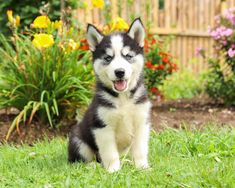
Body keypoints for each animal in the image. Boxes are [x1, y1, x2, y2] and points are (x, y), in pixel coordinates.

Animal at [69, 18, 151, 173]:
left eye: (128, 56)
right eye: (108, 58)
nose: (119, 72)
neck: (123, 98)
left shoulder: (141, 122)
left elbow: (140, 149)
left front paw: (142, 167)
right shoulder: (102, 126)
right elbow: (110, 153)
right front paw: (113, 170)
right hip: (78, 139)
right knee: (81, 159)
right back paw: (92, 165)